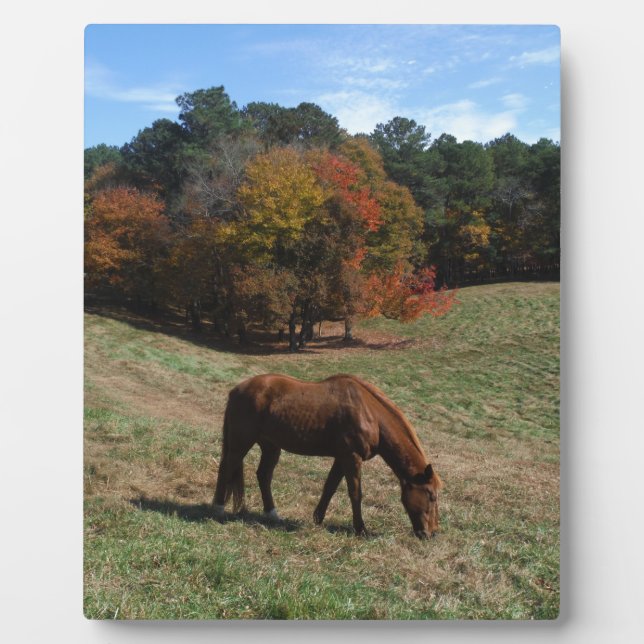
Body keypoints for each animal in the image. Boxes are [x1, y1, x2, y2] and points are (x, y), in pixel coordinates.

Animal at [212, 373, 443, 539]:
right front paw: (360, 529)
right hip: (241, 442)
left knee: (263, 475)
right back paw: (218, 509)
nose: (431, 533)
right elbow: (355, 493)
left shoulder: (341, 458)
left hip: (270, 447)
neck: (369, 414)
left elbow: (330, 488)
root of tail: (237, 390)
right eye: (431, 496)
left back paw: (272, 514)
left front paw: (318, 519)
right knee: (227, 468)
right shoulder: (351, 457)